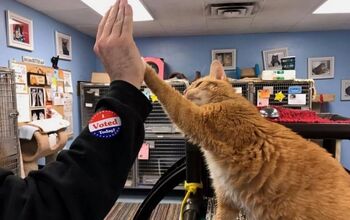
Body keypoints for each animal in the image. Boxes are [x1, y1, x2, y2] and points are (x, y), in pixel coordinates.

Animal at [144, 60, 350, 220]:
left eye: (198, 83)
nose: (185, 91)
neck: (229, 100)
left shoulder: (193, 117)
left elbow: (167, 92)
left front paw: (144, 67)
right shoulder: (227, 201)